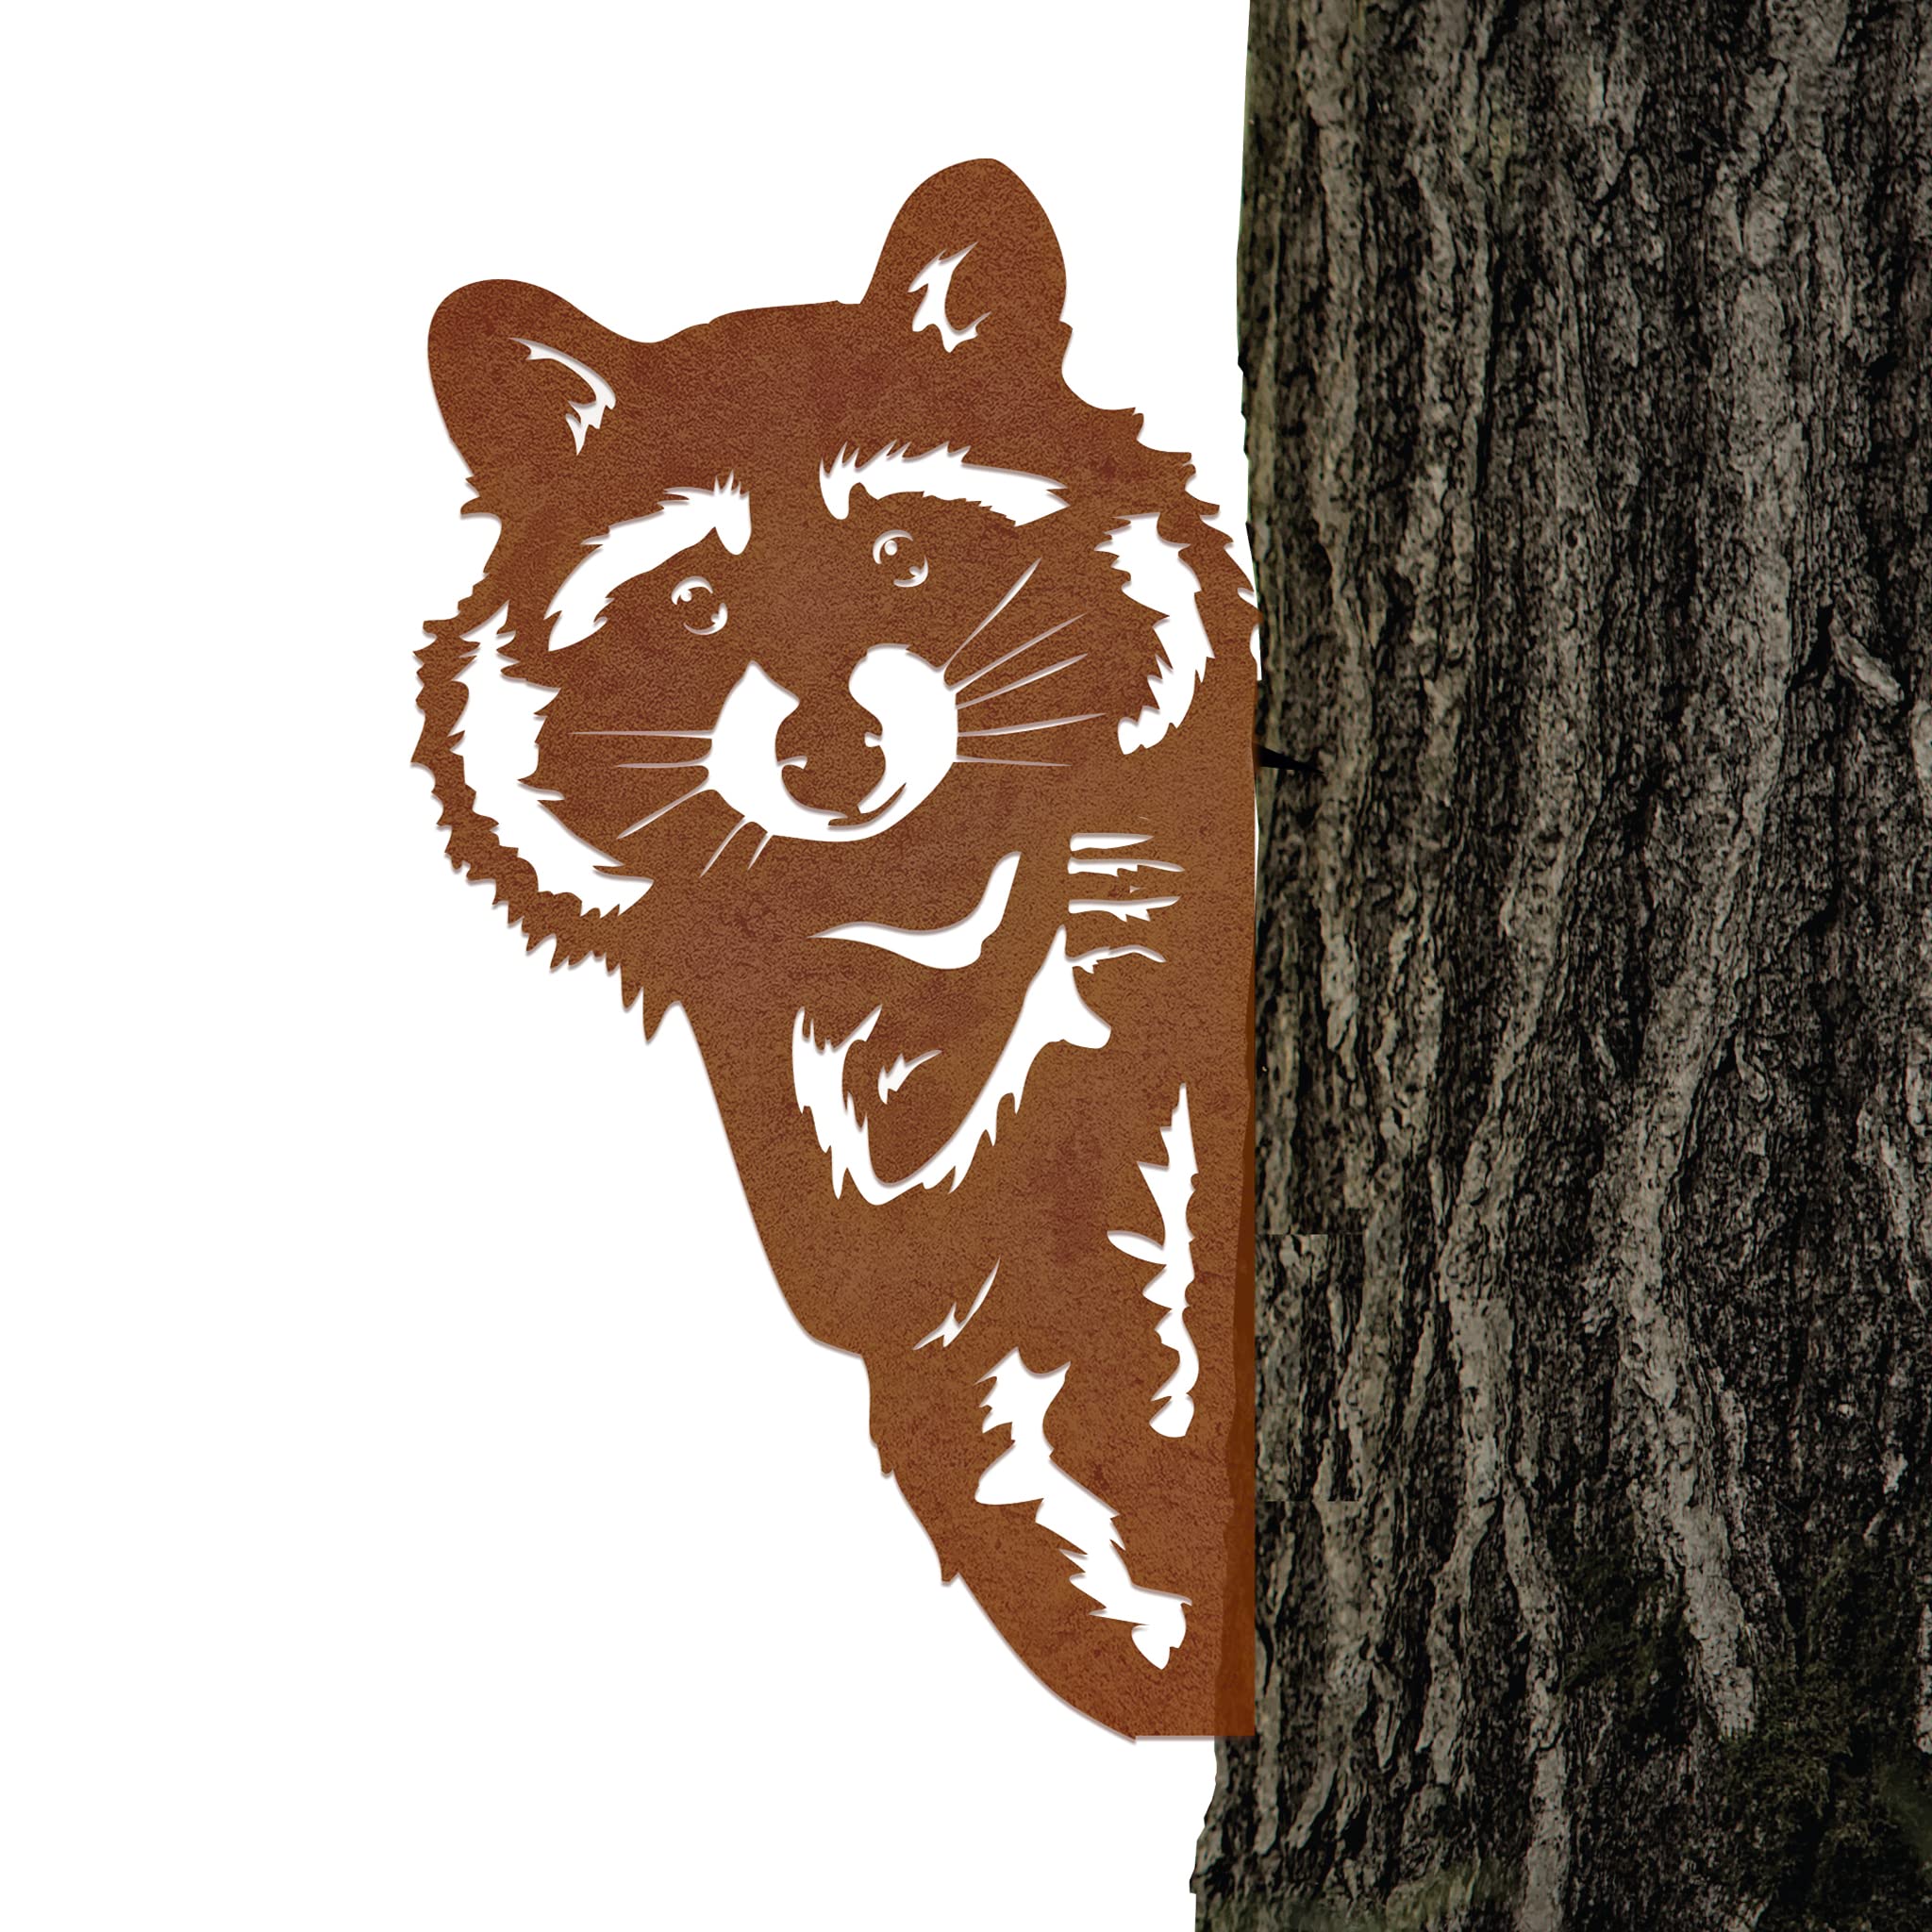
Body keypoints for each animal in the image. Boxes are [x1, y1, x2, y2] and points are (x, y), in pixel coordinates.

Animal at [417, 160, 1255, 1736]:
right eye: (697, 604)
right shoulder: (759, 1044)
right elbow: (882, 1250)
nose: (830, 754)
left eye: (901, 554)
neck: (923, 874)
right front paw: (1044, 957)